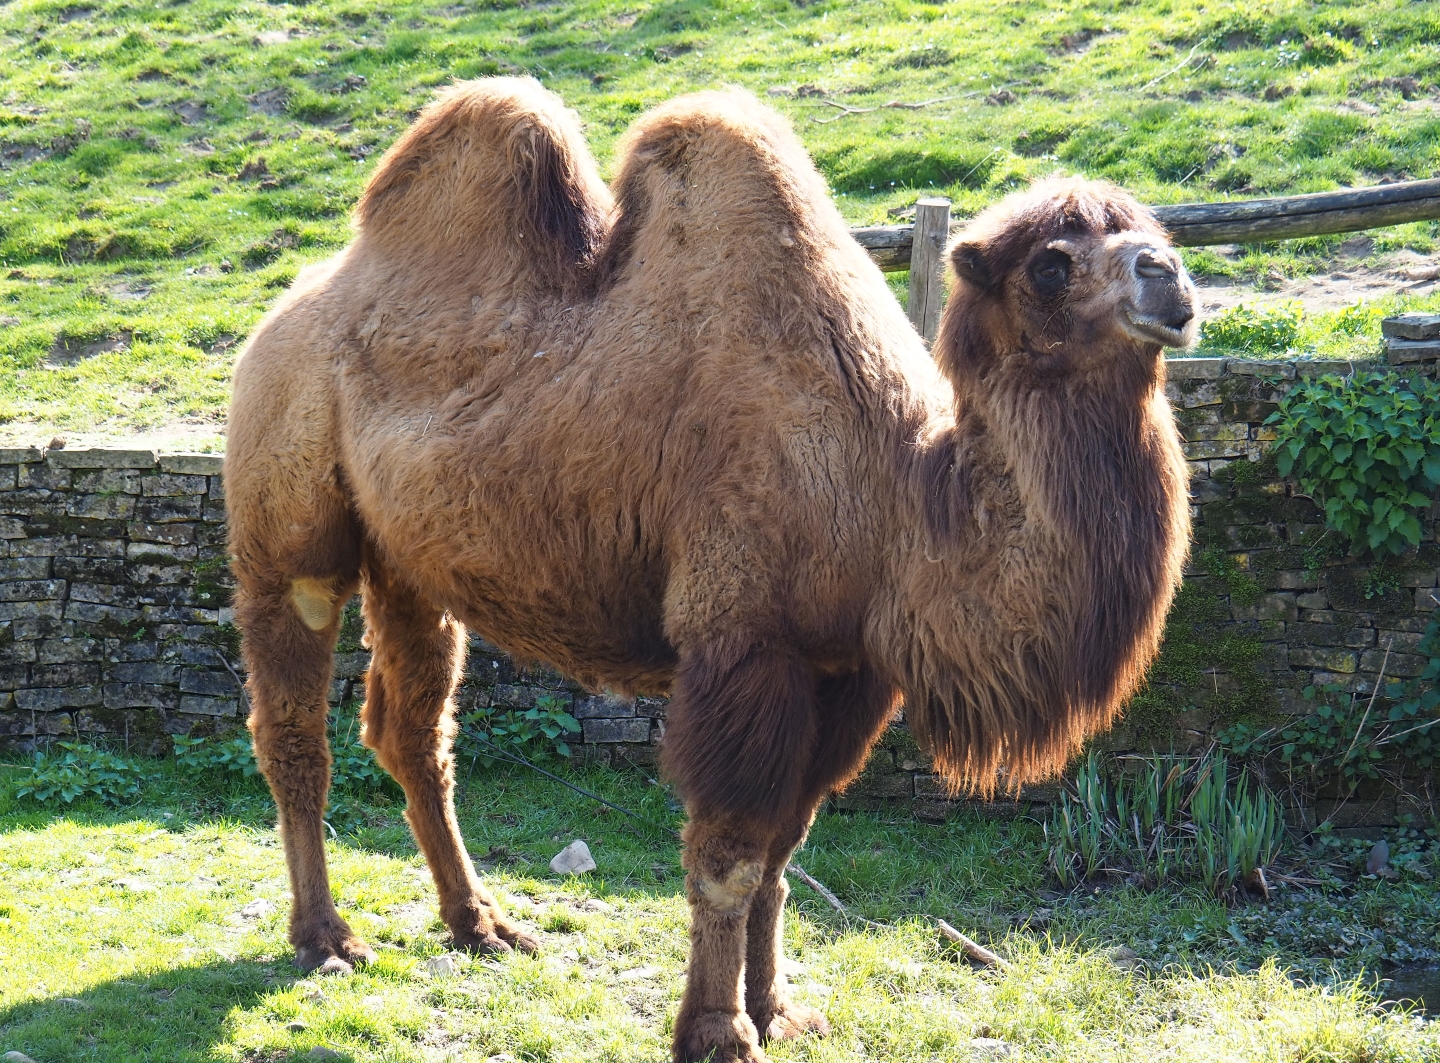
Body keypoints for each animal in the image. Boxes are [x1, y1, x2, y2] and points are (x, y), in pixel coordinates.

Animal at [225, 77, 1195, 1063]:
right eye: (1051, 263)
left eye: (1148, 226)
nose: (1169, 276)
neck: (892, 498)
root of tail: (278, 316)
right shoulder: (744, 645)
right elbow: (730, 856)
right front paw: (718, 1030)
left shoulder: (846, 671)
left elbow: (784, 854)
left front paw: (780, 1011)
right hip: (288, 523)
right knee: (293, 720)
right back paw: (327, 938)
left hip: (411, 562)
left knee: (414, 730)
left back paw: (481, 923)